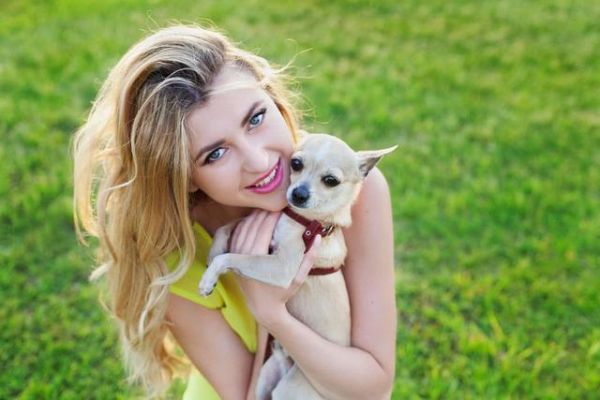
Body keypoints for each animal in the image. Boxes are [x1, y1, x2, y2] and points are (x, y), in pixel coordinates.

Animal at [198, 133, 396, 399]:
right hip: (266, 374)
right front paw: (214, 250)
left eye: (331, 181)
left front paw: (208, 278)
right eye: (296, 163)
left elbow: (231, 257)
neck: (306, 221)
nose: (298, 193)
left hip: (289, 388)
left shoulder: (282, 267)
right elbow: (227, 227)